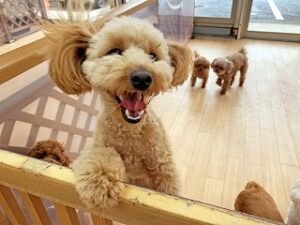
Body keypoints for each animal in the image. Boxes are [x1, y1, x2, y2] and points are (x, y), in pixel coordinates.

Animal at [46, 16, 193, 209]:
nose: (143, 77)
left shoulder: (164, 167)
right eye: (115, 51)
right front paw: (99, 183)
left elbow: (170, 189)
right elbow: (99, 156)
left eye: (153, 56)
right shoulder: (97, 146)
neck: (131, 132)